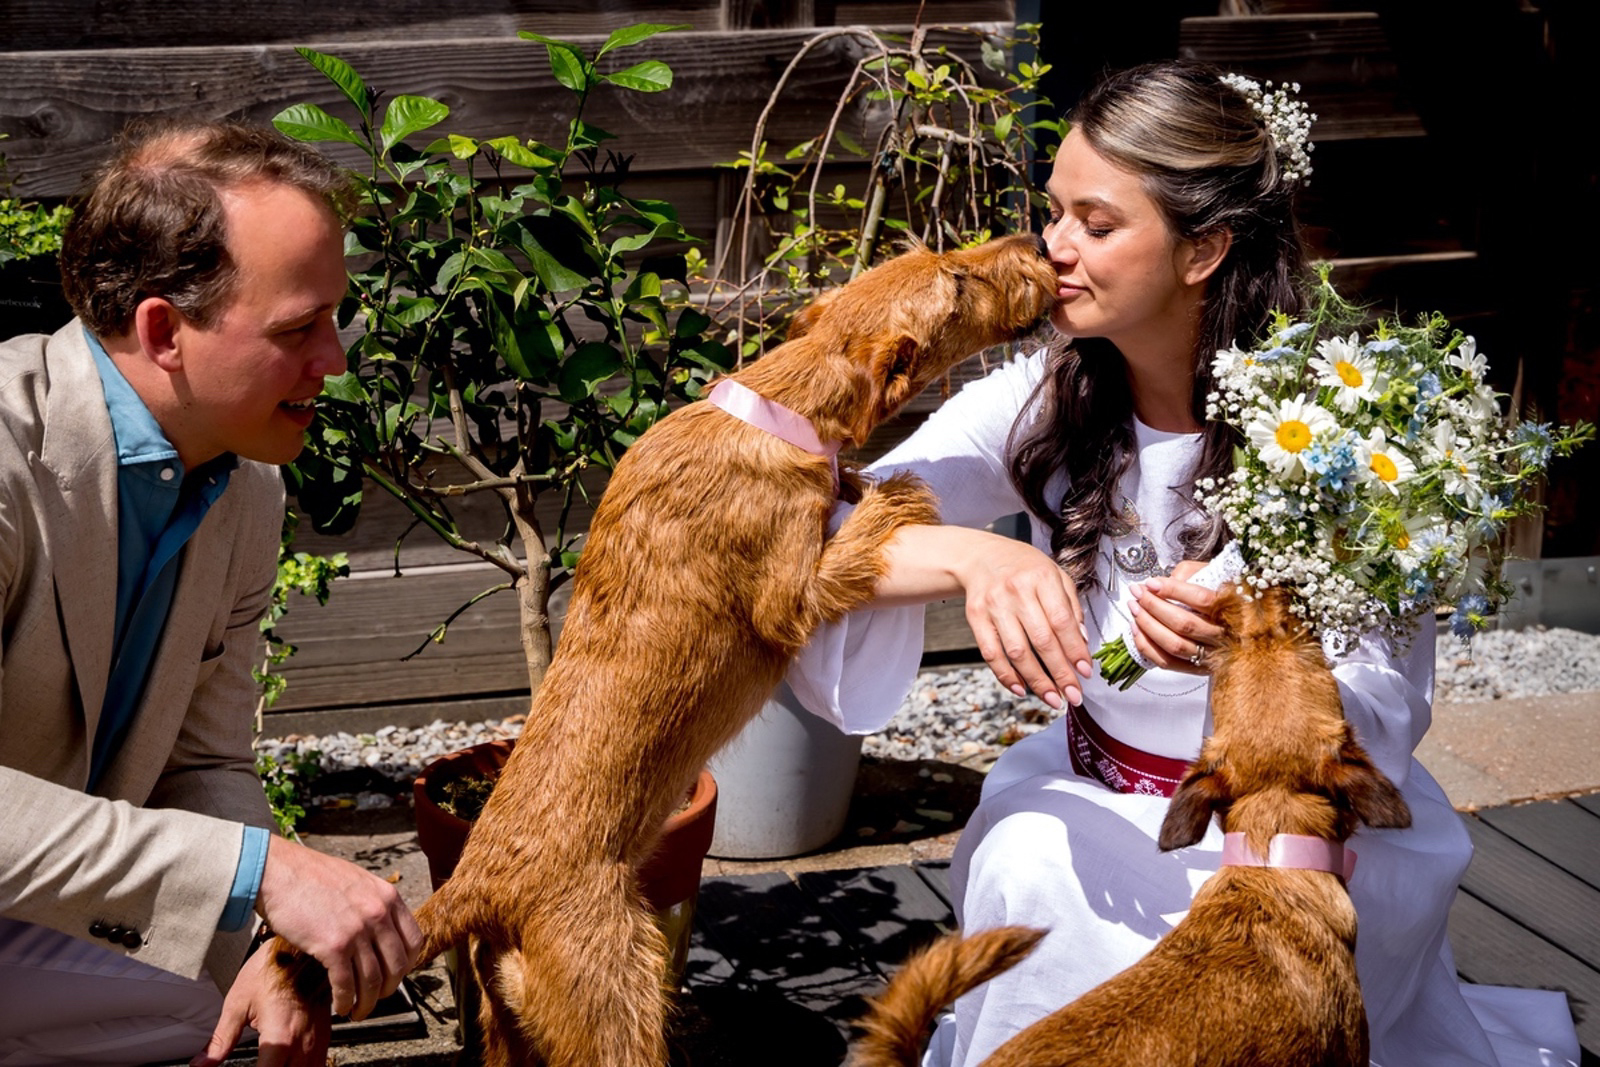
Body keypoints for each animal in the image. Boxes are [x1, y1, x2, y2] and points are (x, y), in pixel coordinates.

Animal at [396, 235, 1059, 1066]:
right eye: (958, 280)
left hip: (506, 1028)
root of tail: (477, 885)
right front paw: (892, 491)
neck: (779, 407)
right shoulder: (792, 598)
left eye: (939, 254)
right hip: (621, 1001)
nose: (1035, 241)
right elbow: (859, 532)